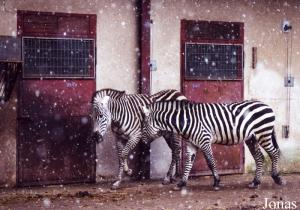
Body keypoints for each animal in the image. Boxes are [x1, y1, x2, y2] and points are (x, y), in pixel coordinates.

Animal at [141, 100, 284, 190]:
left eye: (144, 125)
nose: (142, 141)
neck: (186, 121)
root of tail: (266, 105)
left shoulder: (204, 141)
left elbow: (210, 162)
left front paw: (216, 182)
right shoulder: (191, 145)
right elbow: (188, 163)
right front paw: (181, 183)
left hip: (263, 134)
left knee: (274, 153)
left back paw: (277, 178)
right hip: (252, 138)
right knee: (259, 158)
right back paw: (255, 182)